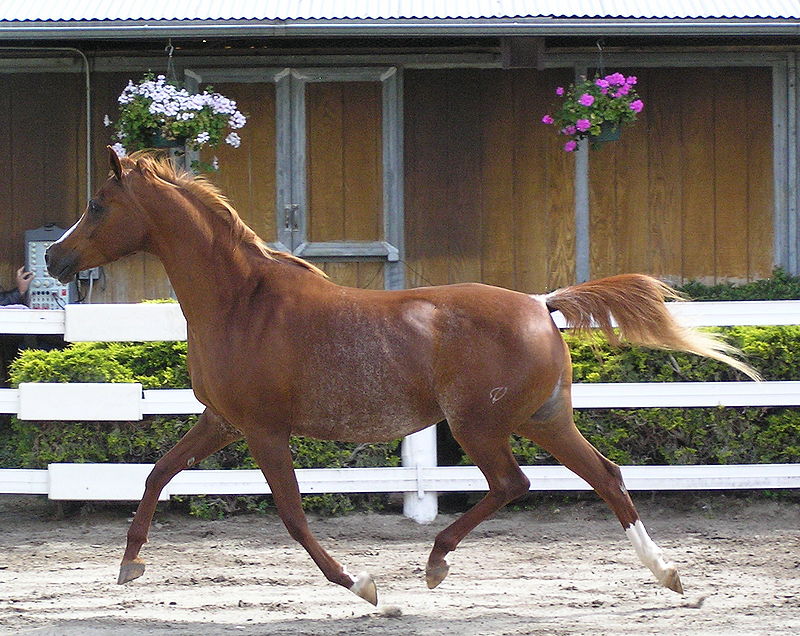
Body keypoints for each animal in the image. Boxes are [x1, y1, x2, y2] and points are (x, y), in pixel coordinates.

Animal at [47, 150, 760, 608]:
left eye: (96, 204)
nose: (54, 258)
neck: (241, 301)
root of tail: (541, 304)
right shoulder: (222, 420)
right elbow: (158, 473)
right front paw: (129, 564)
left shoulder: (262, 430)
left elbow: (292, 515)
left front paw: (367, 590)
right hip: (544, 420)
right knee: (606, 477)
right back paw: (668, 575)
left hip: (480, 425)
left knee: (514, 483)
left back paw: (436, 563)